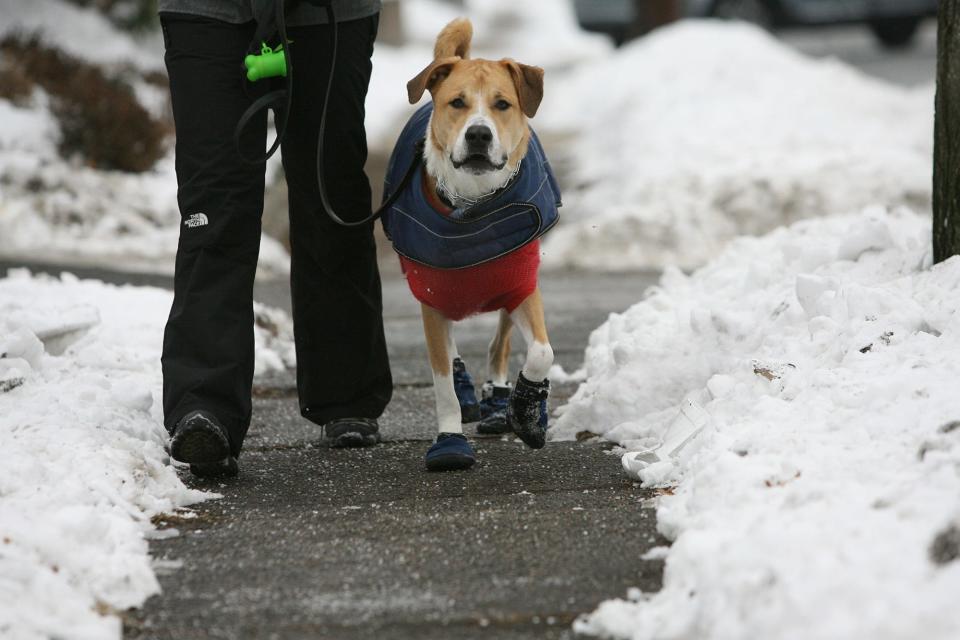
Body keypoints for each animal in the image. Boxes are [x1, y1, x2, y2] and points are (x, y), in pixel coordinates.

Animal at [386, 18, 560, 470]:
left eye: (502, 104)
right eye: (457, 103)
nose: (479, 134)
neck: (473, 206)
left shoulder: (521, 285)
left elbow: (542, 352)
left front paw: (525, 410)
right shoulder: (431, 297)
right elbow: (443, 379)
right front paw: (449, 439)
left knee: (499, 344)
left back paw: (499, 402)